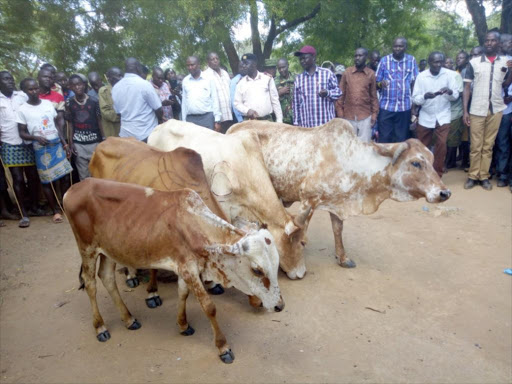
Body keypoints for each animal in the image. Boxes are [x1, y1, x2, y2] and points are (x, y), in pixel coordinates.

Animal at [63, 178, 284, 364]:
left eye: (276, 264)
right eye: (257, 270)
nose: (279, 306)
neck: (194, 224)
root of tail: (74, 188)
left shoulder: (185, 268)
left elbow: (182, 294)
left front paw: (183, 325)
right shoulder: (188, 270)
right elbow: (209, 307)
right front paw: (223, 347)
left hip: (109, 250)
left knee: (107, 278)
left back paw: (129, 319)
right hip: (87, 249)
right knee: (90, 284)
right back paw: (100, 327)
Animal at [228, 118, 452, 272]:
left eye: (432, 160)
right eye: (416, 163)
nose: (445, 192)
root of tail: (234, 128)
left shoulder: (336, 203)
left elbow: (338, 229)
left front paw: (343, 258)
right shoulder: (308, 199)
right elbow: (299, 230)